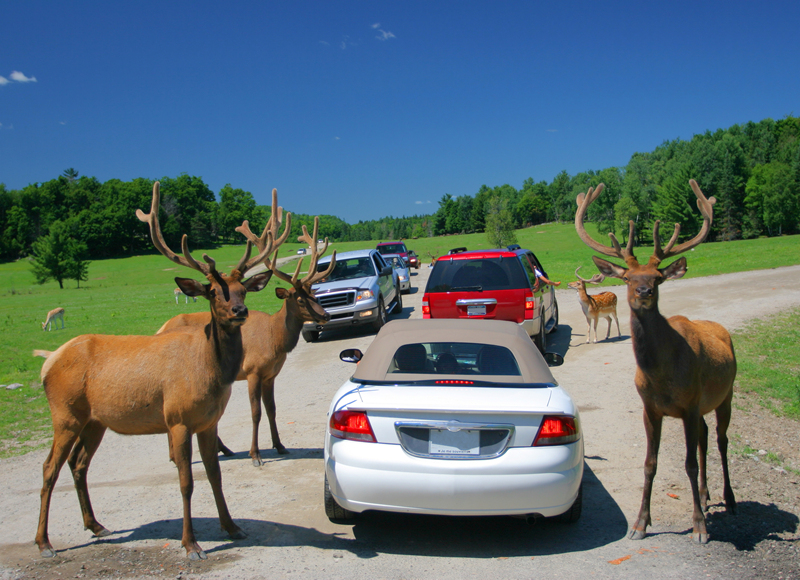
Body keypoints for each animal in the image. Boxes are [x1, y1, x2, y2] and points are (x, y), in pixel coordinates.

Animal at [32, 182, 276, 560]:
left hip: (94, 420)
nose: (240, 311)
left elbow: (216, 475)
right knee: (48, 468)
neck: (209, 374)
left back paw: (96, 525)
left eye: (242, 290)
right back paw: (44, 542)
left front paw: (233, 527)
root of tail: (48, 361)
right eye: (212, 292)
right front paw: (191, 544)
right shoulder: (177, 418)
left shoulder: (208, 421)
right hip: (65, 412)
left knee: (78, 463)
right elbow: (187, 482)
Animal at [158, 190, 336, 466]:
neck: (275, 340)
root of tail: (160, 328)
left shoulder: (270, 374)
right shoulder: (252, 370)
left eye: (314, 294)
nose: (325, 315)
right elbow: (255, 413)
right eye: (298, 298)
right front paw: (256, 455)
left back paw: (221, 450)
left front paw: (280, 445)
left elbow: (272, 409)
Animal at [576, 178, 736, 544]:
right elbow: (650, 463)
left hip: (726, 394)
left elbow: (688, 464)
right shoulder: (650, 408)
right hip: (702, 407)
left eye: (657, 277)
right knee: (706, 437)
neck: (661, 375)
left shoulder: (689, 405)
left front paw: (699, 527)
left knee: (721, 440)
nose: (644, 292)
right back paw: (705, 494)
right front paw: (640, 524)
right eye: (628, 278)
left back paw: (729, 500)